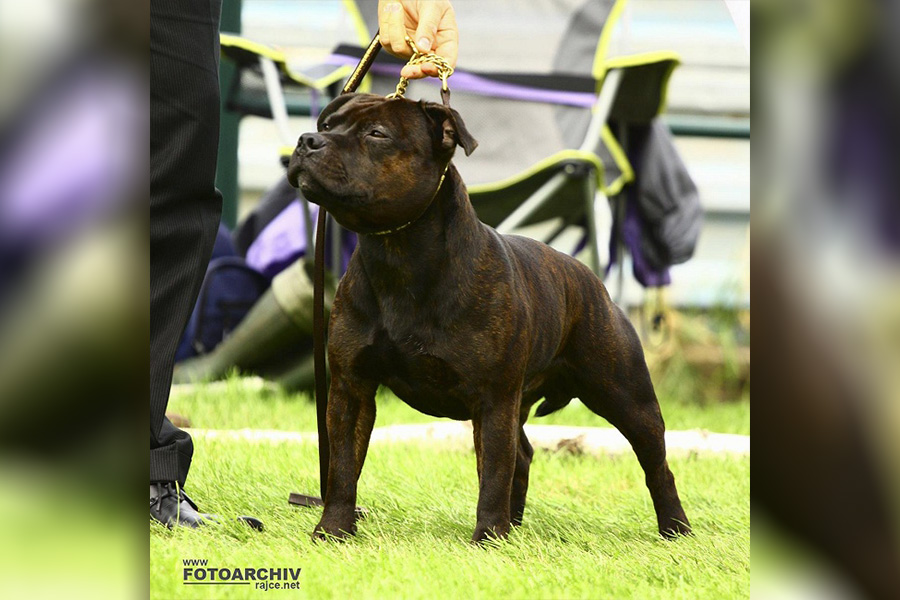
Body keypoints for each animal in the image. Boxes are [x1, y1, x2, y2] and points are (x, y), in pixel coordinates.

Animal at [288, 92, 688, 544]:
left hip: (626, 397)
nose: (307, 140)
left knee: (656, 465)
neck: (399, 254)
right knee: (524, 454)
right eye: (326, 124)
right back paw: (513, 525)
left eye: (377, 133)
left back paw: (675, 527)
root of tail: (589, 278)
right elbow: (342, 468)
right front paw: (332, 530)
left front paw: (486, 539)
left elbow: (493, 473)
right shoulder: (351, 389)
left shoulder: (493, 399)